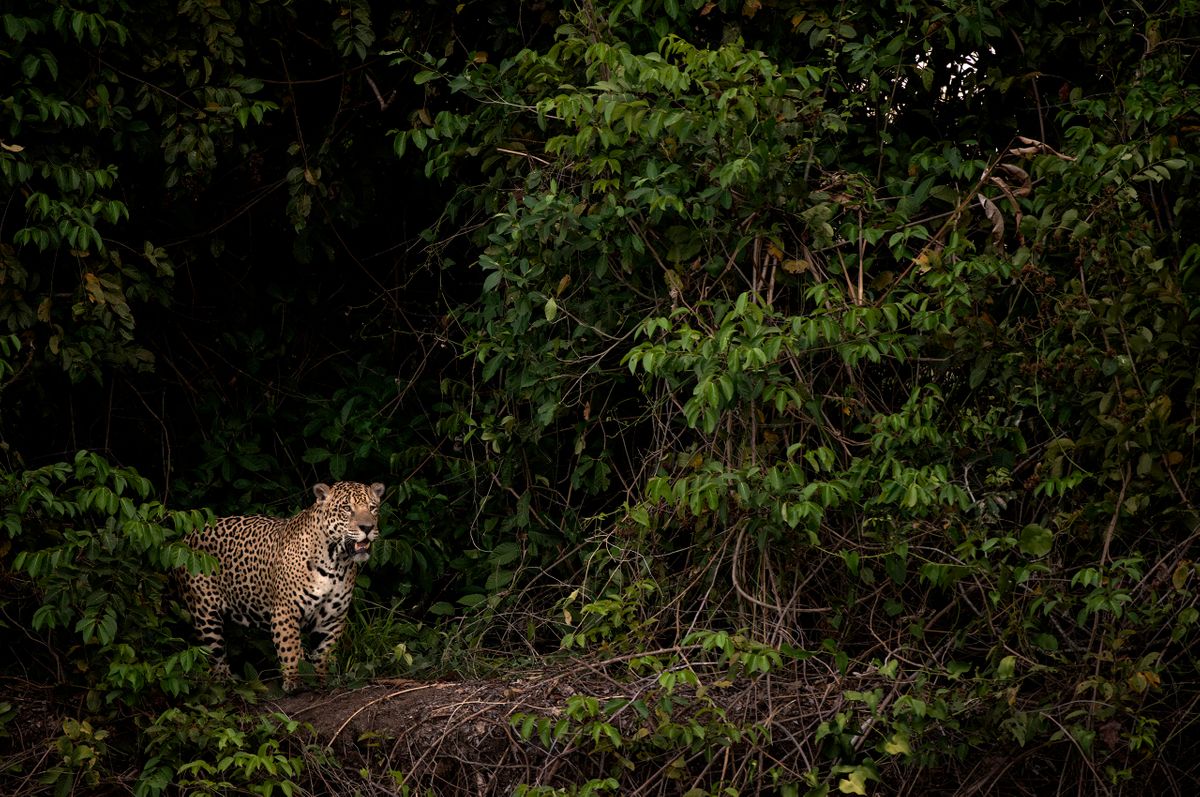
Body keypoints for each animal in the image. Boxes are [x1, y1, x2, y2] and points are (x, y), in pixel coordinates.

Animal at [179, 480, 385, 691]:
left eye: (372, 508)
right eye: (347, 509)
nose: (367, 527)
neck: (336, 563)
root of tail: (188, 535)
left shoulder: (332, 618)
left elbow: (324, 652)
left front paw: (323, 680)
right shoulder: (285, 610)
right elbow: (290, 648)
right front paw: (294, 681)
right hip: (205, 615)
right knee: (215, 656)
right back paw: (225, 682)